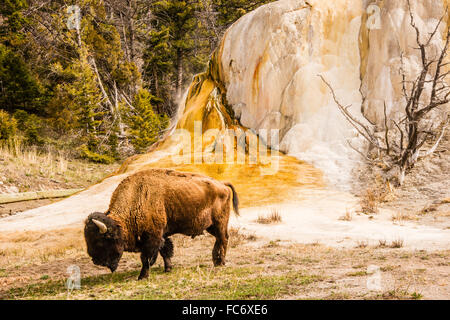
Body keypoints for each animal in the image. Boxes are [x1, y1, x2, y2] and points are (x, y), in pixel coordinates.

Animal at [84, 169, 239, 278]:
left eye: (101, 240)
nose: (96, 261)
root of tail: (222, 184)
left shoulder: (152, 237)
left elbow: (146, 258)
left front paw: (142, 276)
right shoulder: (161, 235)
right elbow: (165, 251)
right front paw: (168, 269)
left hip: (219, 223)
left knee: (224, 239)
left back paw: (220, 263)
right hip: (211, 226)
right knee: (219, 240)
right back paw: (216, 261)